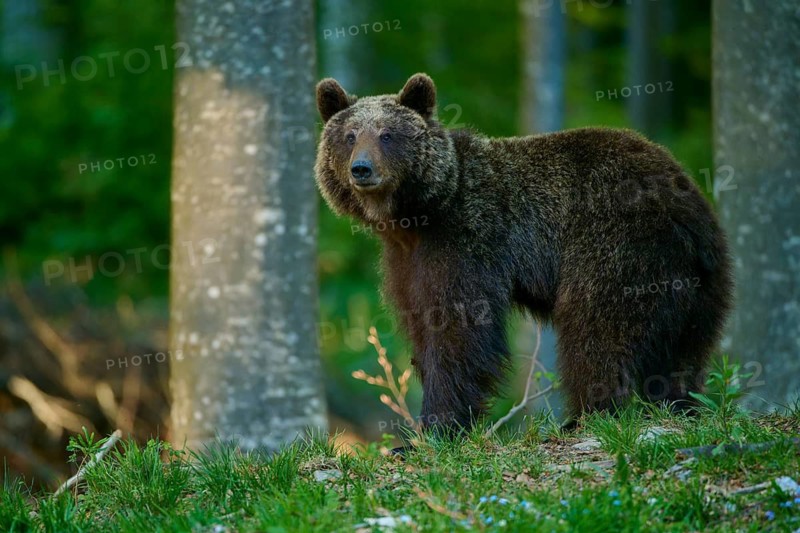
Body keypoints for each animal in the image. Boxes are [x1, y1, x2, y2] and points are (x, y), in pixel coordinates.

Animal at [314, 73, 733, 432]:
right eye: (349, 135)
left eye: (387, 135)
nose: (361, 169)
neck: (417, 215)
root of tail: (685, 199)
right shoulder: (405, 261)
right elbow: (419, 319)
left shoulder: (466, 241)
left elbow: (458, 327)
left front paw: (438, 426)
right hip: (700, 280)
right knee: (683, 348)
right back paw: (680, 402)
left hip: (618, 245)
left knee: (596, 327)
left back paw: (585, 416)